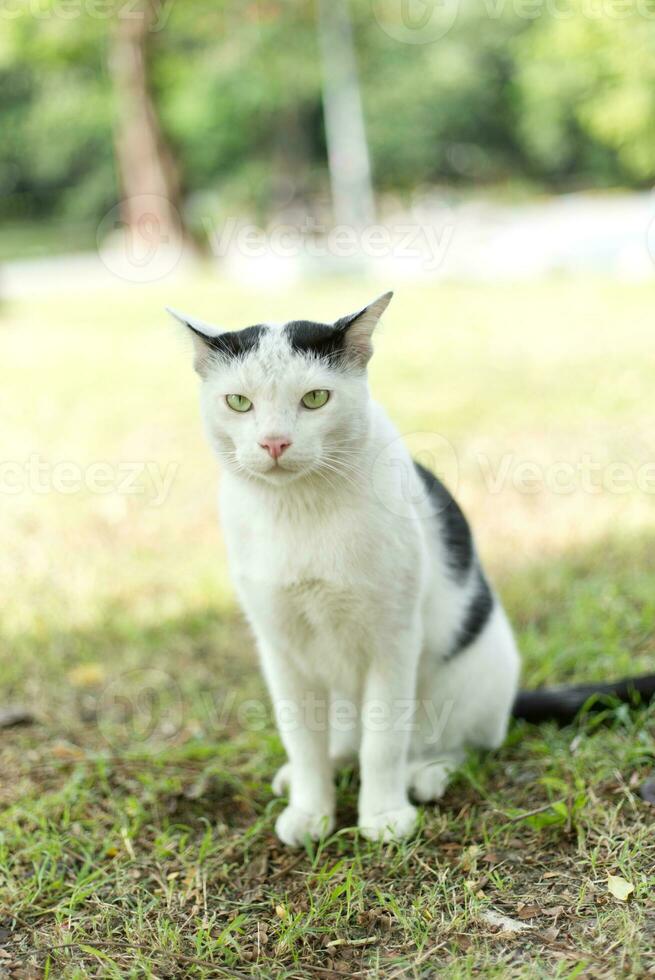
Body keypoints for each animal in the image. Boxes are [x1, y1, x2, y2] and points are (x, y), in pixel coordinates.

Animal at [170, 292, 524, 848]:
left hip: (475, 674)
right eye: (239, 403)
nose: (274, 442)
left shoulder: (393, 639)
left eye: (316, 399)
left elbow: (383, 741)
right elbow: (301, 739)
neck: (300, 511)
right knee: (336, 742)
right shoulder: (279, 647)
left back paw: (427, 773)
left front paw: (382, 815)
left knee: (463, 743)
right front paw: (310, 810)